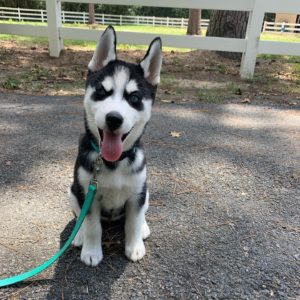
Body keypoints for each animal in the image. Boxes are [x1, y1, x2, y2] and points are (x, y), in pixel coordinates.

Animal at [68, 25, 162, 264]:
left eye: (135, 98)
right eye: (102, 91)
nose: (114, 118)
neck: (114, 162)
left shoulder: (137, 193)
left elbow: (133, 222)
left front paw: (134, 246)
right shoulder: (87, 194)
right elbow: (92, 226)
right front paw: (92, 251)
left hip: (146, 192)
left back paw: (144, 228)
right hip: (72, 191)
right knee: (78, 217)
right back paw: (78, 236)